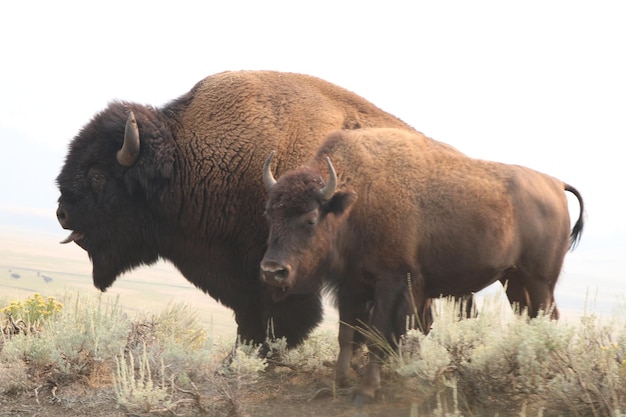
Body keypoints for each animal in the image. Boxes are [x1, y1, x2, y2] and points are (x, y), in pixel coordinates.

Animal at [258, 127, 580, 400]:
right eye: (269, 213)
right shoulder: (350, 284)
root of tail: (555, 184)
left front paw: (366, 391)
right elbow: (346, 334)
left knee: (547, 319)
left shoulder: (391, 282)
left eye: (311, 219)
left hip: (540, 281)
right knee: (531, 318)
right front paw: (338, 385)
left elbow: (378, 335)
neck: (357, 199)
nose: (273, 271)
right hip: (513, 280)